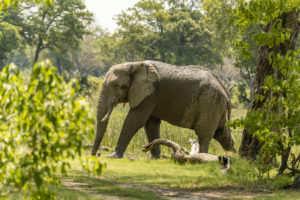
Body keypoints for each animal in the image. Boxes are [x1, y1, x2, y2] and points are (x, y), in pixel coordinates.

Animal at [90, 59, 236, 158]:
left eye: (118, 86)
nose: (94, 155)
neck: (135, 64)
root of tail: (226, 91)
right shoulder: (151, 97)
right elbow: (151, 123)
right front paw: (154, 158)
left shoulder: (150, 95)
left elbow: (135, 121)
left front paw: (113, 156)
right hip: (216, 105)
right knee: (222, 134)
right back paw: (236, 158)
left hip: (209, 102)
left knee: (204, 134)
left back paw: (202, 157)